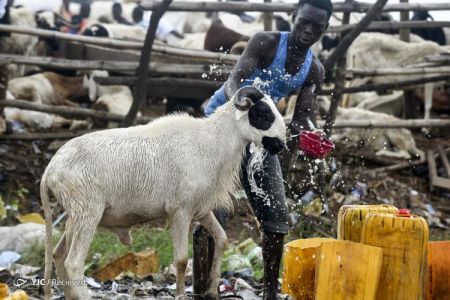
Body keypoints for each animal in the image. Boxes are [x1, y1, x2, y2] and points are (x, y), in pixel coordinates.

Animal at [38, 86, 284, 300]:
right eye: (263, 112)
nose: (281, 145)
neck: (212, 142)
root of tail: (50, 170)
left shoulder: (201, 210)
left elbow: (221, 239)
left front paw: (212, 291)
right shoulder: (179, 211)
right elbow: (182, 260)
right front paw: (181, 295)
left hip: (75, 215)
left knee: (58, 254)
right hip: (88, 213)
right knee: (73, 263)